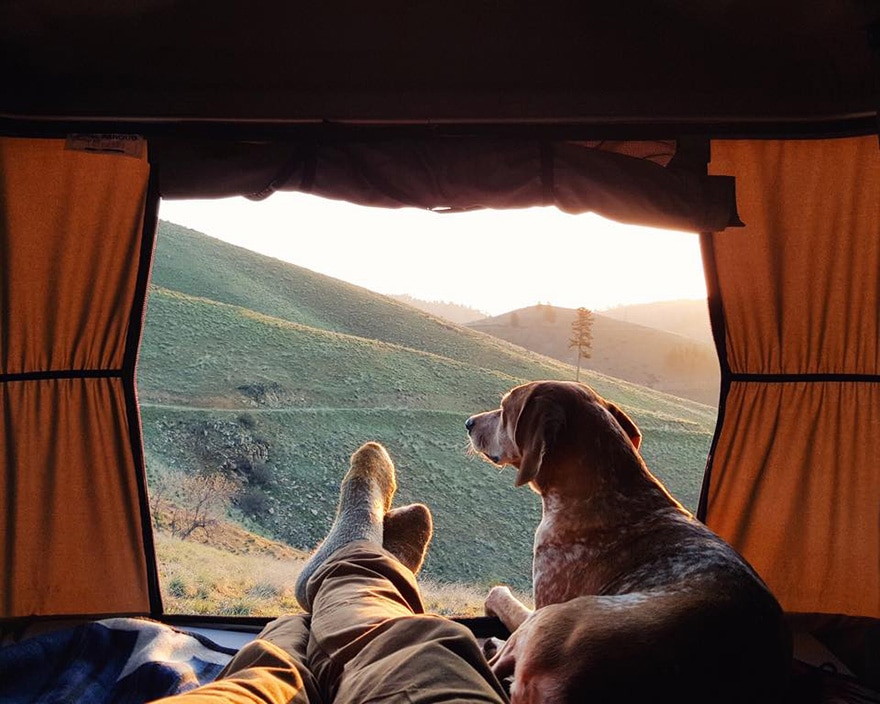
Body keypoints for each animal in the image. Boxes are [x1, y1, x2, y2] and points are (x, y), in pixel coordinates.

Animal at [468, 382, 792, 700]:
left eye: (505, 408)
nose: (469, 422)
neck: (607, 491)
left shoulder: (543, 602)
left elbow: (499, 595)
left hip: (547, 620)